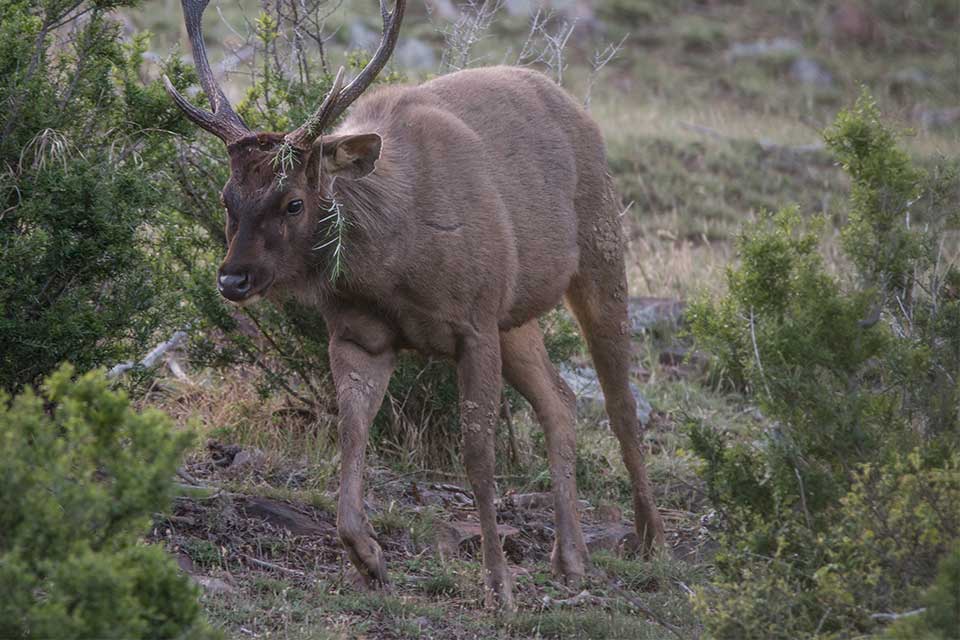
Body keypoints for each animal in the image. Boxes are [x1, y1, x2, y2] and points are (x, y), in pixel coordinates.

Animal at [164, 0, 664, 610]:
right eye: (226, 198)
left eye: (293, 202)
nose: (232, 278)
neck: (393, 267)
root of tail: (575, 106)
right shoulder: (359, 334)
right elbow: (352, 432)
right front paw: (369, 557)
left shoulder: (475, 321)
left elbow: (478, 453)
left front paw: (499, 586)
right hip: (515, 314)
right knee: (561, 399)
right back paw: (570, 558)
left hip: (600, 245)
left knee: (621, 404)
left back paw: (649, 539)